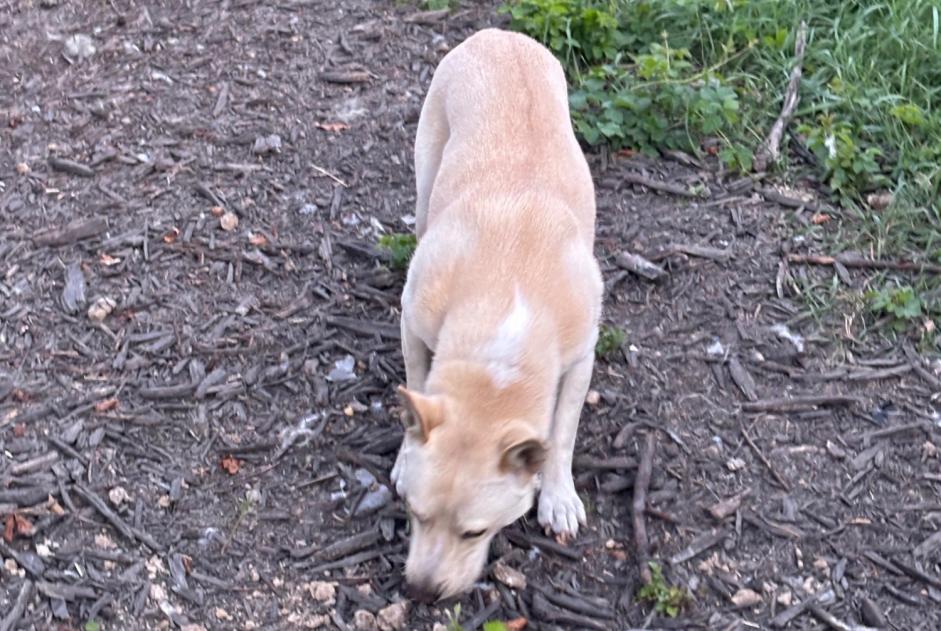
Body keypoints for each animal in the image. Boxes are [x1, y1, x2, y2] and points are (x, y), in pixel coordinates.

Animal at [390, 28, 604, 604]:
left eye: (475, 532)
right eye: (414, 514)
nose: (422, 592)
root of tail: (499, 35)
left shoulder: (581, 357)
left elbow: (563, 430)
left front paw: (557, 495)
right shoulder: (412, 319)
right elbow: (417, 379)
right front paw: (403, 453)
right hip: (428, 164)